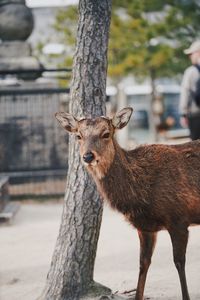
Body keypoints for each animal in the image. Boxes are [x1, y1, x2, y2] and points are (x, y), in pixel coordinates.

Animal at [55, 108, 200, 300]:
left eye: (106, 134)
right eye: (78, 135)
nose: (88, 156)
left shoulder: (178, 218)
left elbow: (179, 262)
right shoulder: (145, 227)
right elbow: (143, 263)